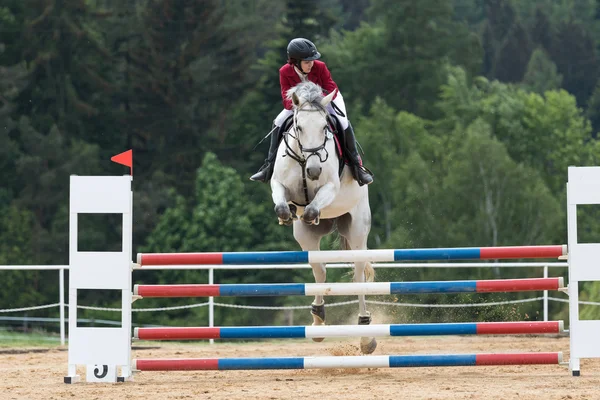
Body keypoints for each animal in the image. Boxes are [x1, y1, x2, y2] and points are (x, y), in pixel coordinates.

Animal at [270, 80, 376, 354]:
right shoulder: (278, 185)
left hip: (357, 230)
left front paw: (311, 213)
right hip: (306, 238)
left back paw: (366, 334)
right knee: (319, 269)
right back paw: (317, 322)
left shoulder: (330, 188)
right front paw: (287, 214)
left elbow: (312, 207)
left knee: (358, 274)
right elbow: (282, 203)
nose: (314, 170)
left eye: (325, 127)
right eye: (298, 127)